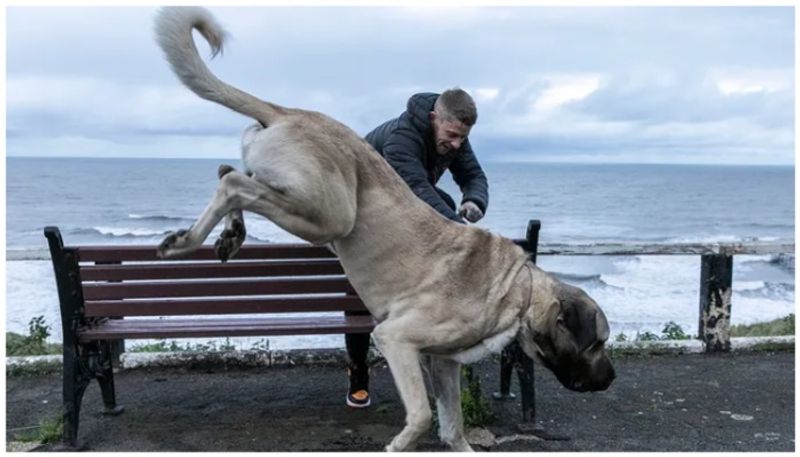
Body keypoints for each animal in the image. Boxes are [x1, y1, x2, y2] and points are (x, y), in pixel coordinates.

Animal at [155, 6, 612, 448]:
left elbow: (453, 427)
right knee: (233, 183)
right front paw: (399, 444)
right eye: (599, 342)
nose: (611, 378)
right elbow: (423, 416)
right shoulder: (397, 339)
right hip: (329, 212)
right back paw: (186, 239)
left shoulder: (442, 362)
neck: (518, 290)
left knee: (228, 171)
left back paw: (231, 233)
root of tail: (291, 112)